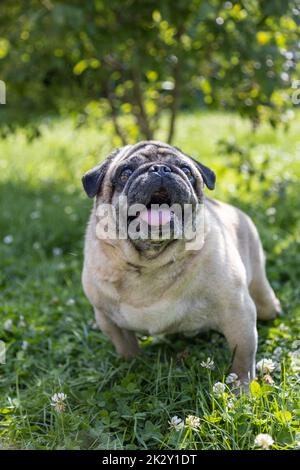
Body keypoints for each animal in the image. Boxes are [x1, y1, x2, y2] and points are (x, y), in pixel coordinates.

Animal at [81, 140, 280, 390]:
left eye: (186, 170)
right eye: (125, 172)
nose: (160, 169)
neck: (151, 263)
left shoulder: (238, 313)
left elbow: (243, 358)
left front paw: (241, 389)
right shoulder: (107, 320)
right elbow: (127, 348)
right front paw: (133, 368)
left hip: (262, 298)